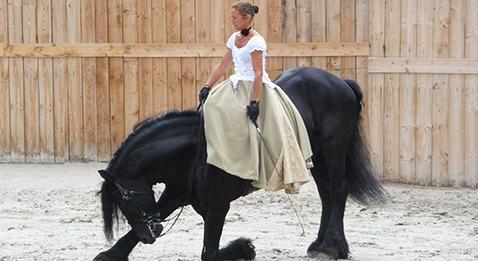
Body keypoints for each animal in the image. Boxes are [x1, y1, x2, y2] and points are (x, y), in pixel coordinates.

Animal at [93, 67, 384, 260]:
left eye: (125, 197)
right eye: (118, 201)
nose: (150, 235)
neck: (195, 150)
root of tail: (339, 82)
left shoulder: (217, 206)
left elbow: (209, 254)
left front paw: (245, 247)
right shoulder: (175, 194)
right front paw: (113, 252)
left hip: (333, 151)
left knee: (338, 190)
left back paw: (334, 247)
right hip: (318, 157)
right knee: (326, 194)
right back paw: (321, 244)